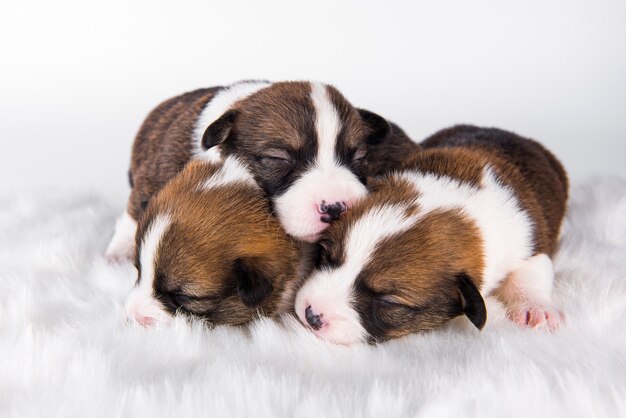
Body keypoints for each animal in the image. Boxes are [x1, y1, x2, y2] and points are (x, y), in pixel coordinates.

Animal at [292, 125, 564, 344]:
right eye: (327, 256)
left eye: (389, 302)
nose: (311, 315)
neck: (457, 204)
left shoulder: (527, 241)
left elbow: (534, 271)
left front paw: (536, 308)